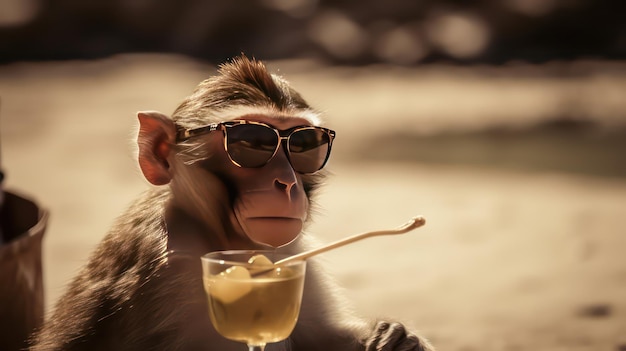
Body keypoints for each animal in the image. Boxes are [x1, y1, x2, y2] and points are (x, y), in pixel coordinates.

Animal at [30, 55, 434, 351]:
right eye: (251, 142)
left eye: (305, 143)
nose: (287, 183)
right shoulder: (183, 280)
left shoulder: (289, 252)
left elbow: (317, 336)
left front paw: (400, 339)